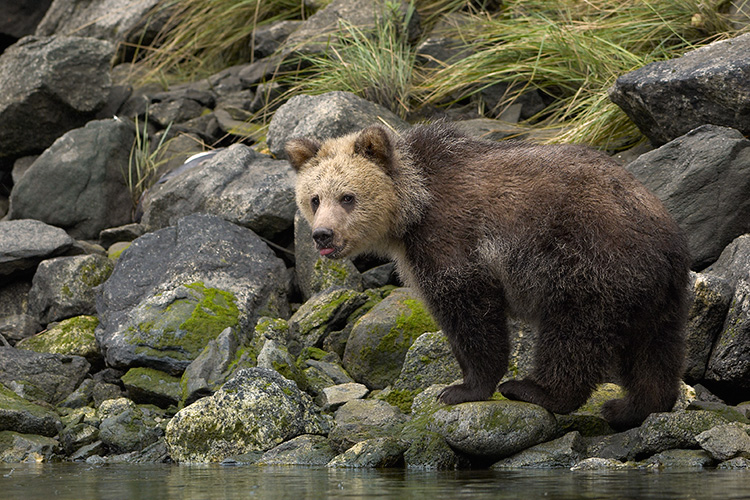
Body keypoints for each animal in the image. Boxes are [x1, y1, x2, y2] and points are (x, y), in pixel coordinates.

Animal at [285, 122, 691, 430]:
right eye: (314, 198)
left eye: (348, 196)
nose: (322, 235)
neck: (413, 207)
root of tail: (662, 228)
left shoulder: (454, 241)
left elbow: (470, 314)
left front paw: (462, 389)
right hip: (656, 290)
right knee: (654, 347)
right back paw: (632, 407)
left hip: (589, 261)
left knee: (575, 333)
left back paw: (535, 390)